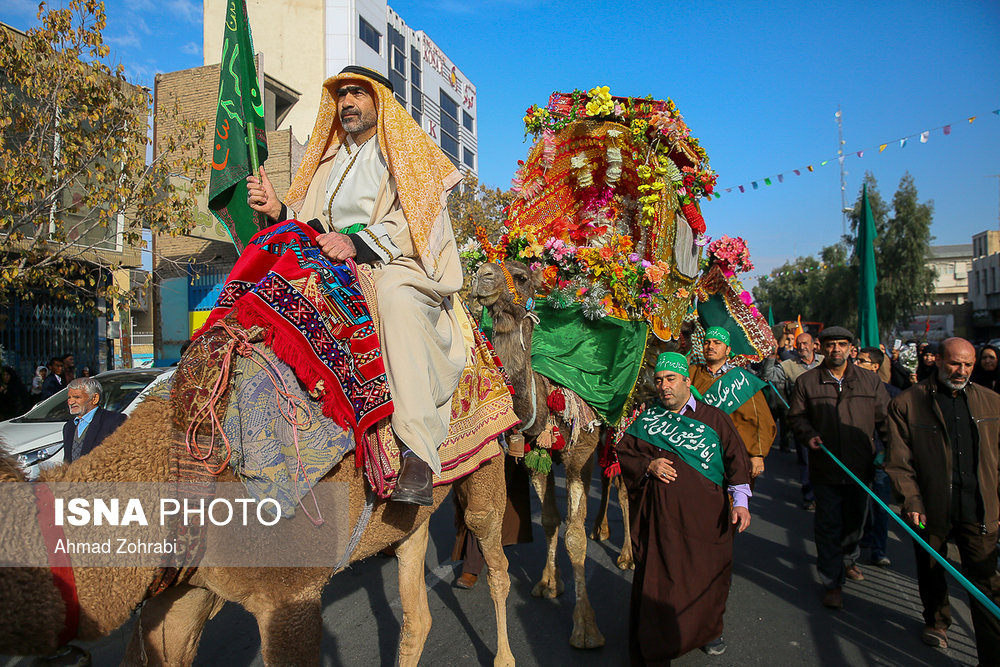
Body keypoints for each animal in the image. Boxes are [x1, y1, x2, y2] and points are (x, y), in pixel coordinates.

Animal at [0, 396, 516, 667]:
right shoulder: (183, 593)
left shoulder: (290, 595)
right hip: (405, 518)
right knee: (417, 613)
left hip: (486, 466)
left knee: (496, 558)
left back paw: (504, 657)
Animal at [470, 260, 628, 652]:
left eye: (522, 276)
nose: (481, 276)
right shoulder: (535, 457)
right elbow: (550, 521)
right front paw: (547, 583)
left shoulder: (579, 455)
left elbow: (575, 536)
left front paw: (586, 629)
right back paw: (603, 531)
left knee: (621, 486)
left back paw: (626, 556)